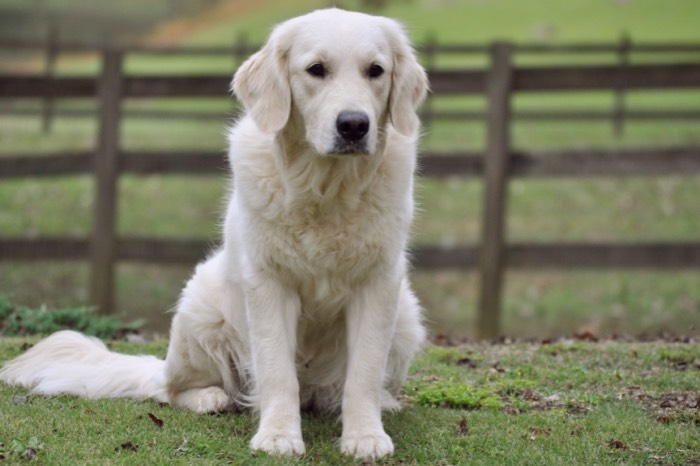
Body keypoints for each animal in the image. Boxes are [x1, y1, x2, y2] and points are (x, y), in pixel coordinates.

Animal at [0, 9, 430, 460]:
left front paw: (365, 436)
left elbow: (364, 370)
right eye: (316, 69)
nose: (354, 125)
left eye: (376, 71)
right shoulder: (268, 282)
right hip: (200, 309)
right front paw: (278, 436)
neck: (326, 190)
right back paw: (210, 397)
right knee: (170, 390)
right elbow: (277, 370)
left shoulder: (379, 282)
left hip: (406, 317)